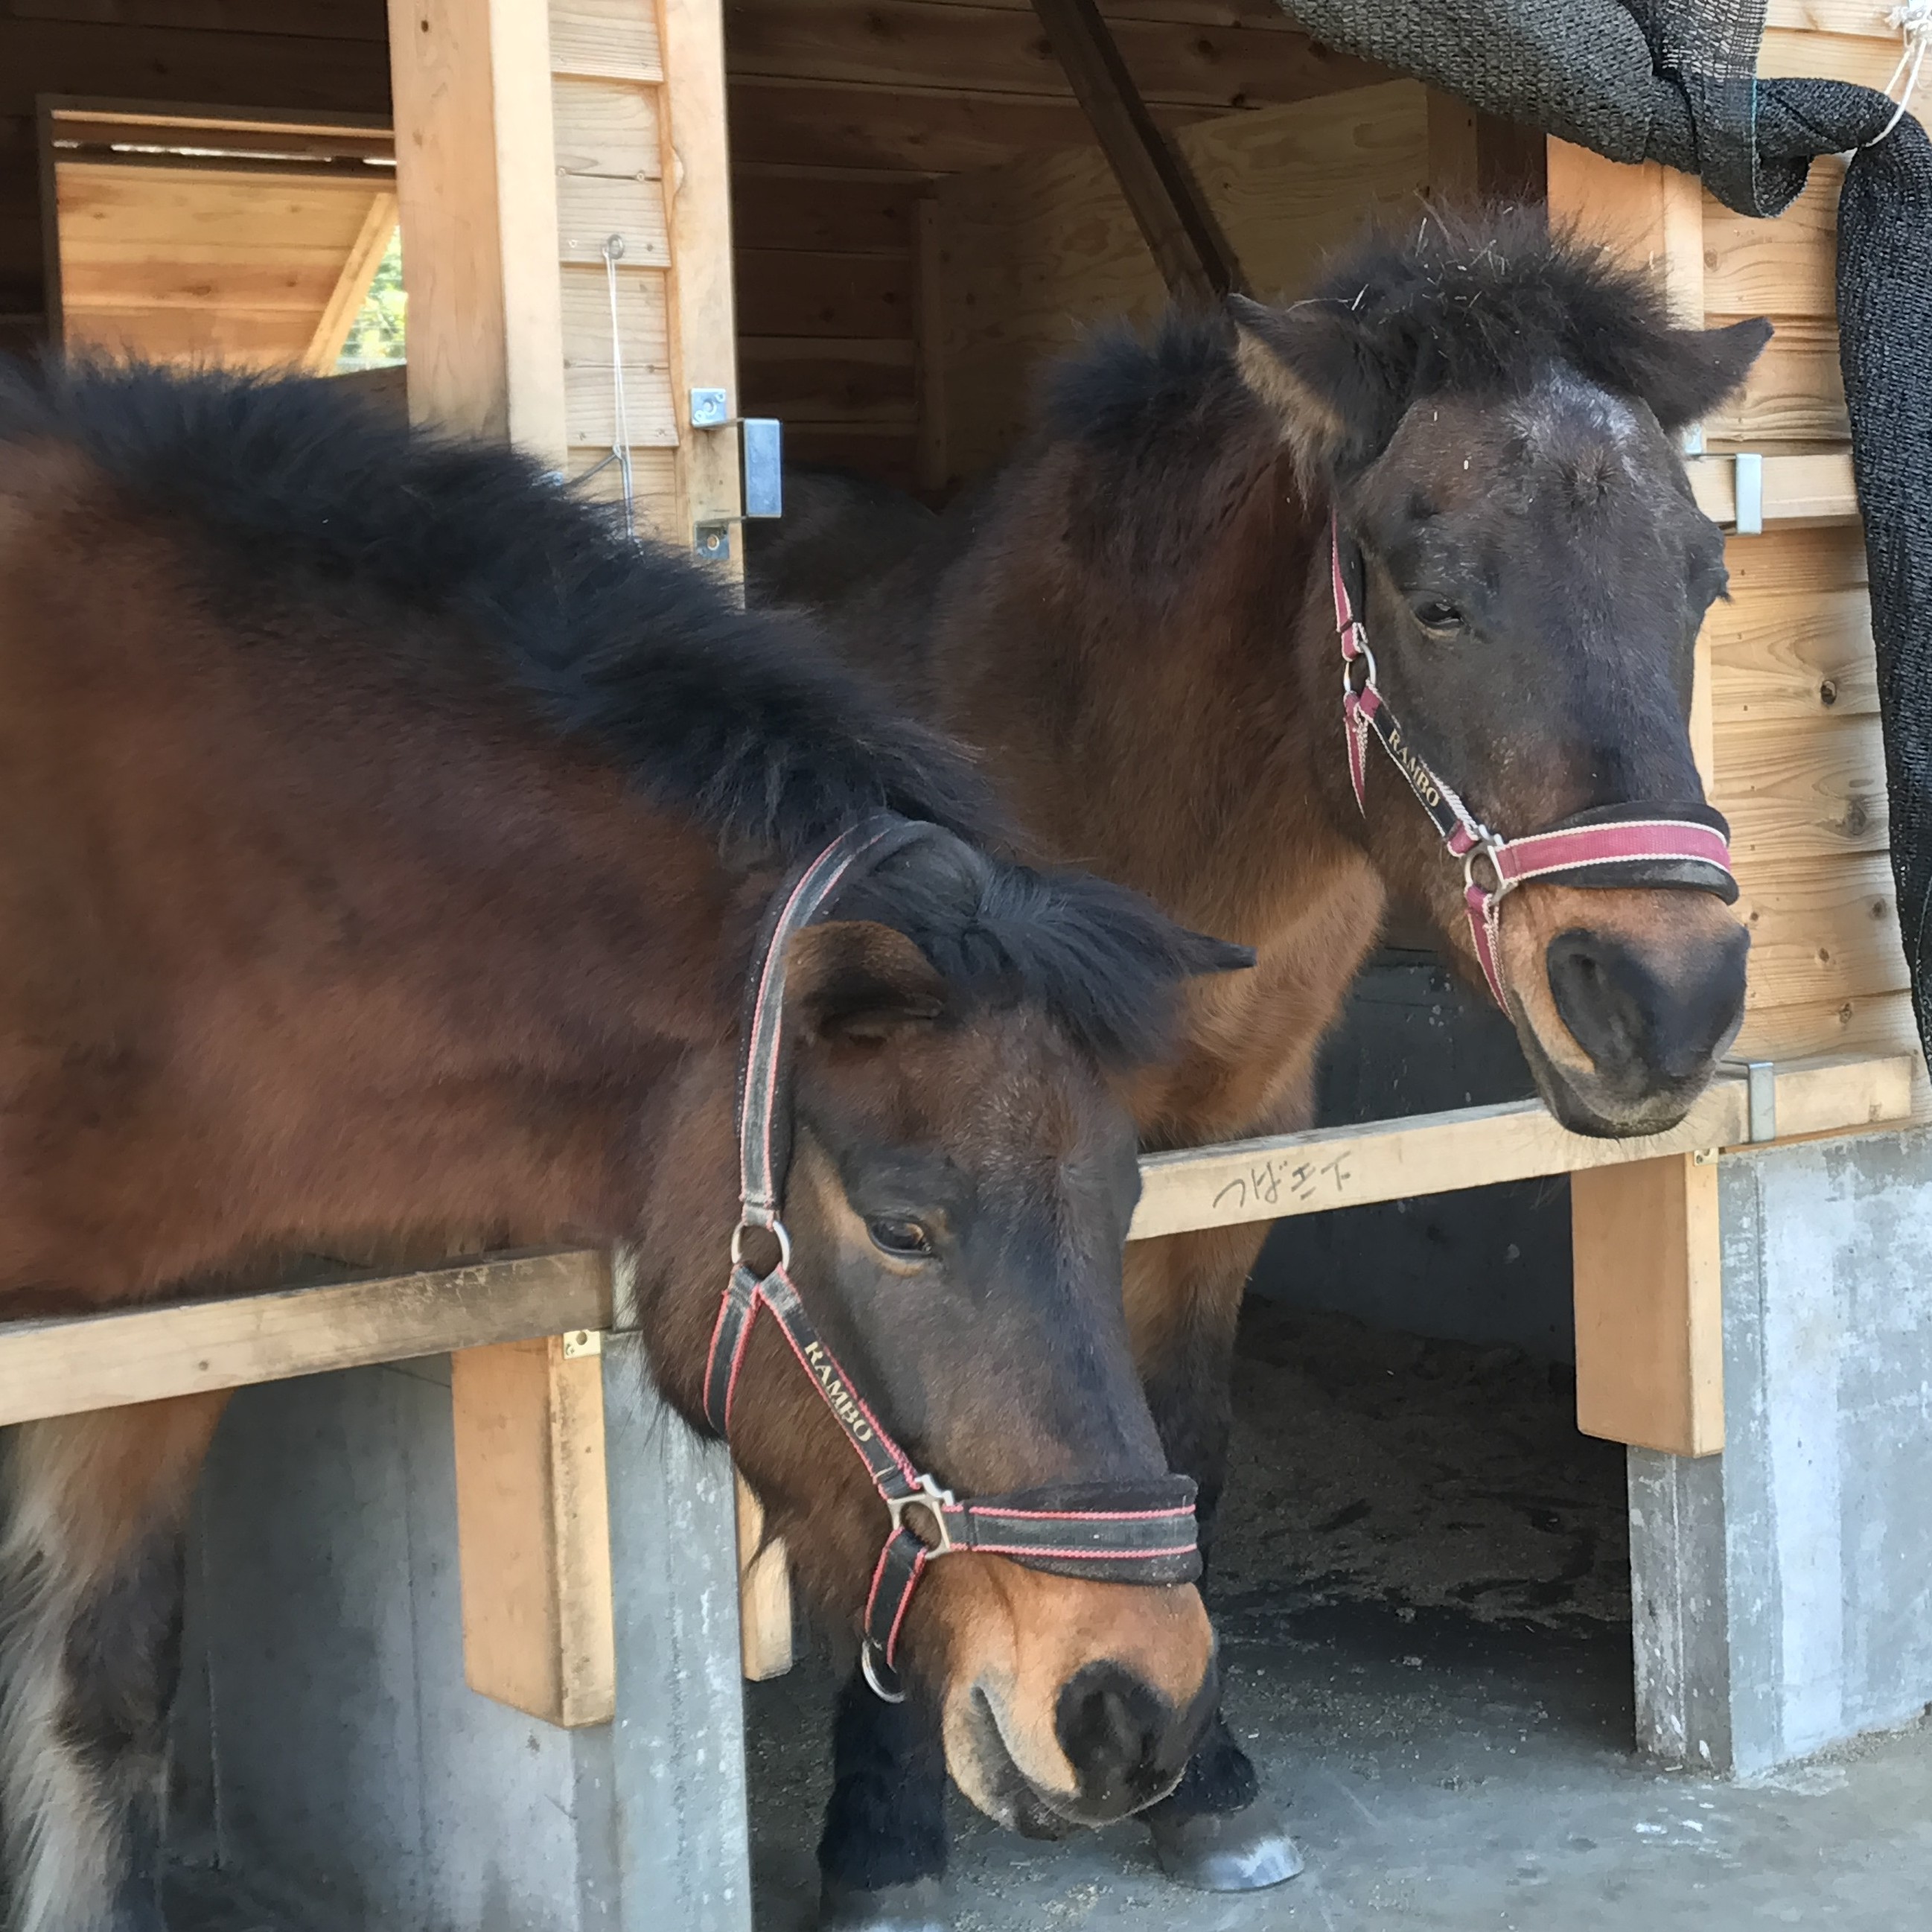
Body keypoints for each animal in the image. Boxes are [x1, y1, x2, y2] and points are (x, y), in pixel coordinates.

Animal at [768, 203, 1770, 1924]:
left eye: (1704, 587)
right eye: (1434, 600)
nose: (1666, 997)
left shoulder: (1233, 1143)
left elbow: (1188, 1450)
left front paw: (1211, 1786)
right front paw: (884, 1836)